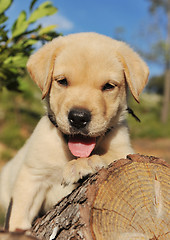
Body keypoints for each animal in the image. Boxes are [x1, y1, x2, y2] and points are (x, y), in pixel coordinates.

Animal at [0, 32, 149, 231]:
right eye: (62, 81)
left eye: (109, 86)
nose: (78, 117)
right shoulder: (32, 175)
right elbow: (19, 211)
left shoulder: (125, 148)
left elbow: (111, 156)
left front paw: (82, 164)